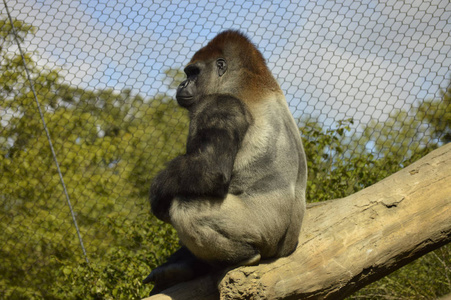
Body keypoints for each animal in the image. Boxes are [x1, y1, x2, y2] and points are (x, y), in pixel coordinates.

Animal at [143, 30, 308, 296]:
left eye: (193, 73)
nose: (182, 84)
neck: (248, 82)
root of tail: (286, 250)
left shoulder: (218, 104)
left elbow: (209, 171)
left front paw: (157, 192)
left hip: (263, 229)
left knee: (186, 208)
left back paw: (242, 257)